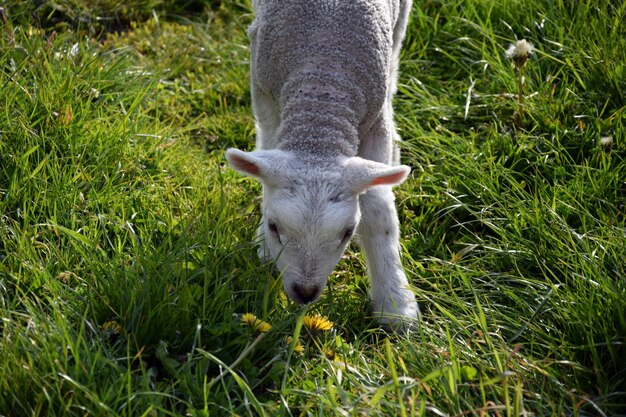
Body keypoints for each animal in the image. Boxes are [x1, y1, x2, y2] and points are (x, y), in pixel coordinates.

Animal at [227, 0, 416, 326]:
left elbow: (379, 211)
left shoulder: (374, 121)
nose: (305, 292)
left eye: (348, 232)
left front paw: (395, 304)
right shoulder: (263, 91)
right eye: (274, 226)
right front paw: (264, 246)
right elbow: (267, 153)